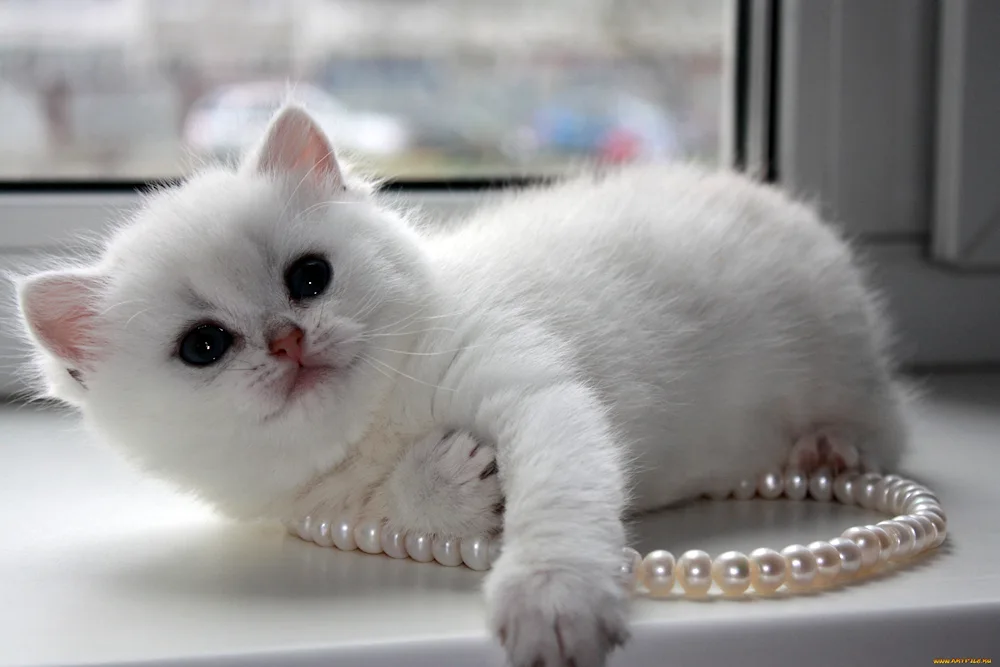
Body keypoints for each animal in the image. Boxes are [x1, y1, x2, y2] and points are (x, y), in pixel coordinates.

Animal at [13, 105, 908, 667]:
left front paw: (551, 601)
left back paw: (827, 446)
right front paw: (453, 482)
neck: (380, 421)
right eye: (203, 346)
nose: (288, 339)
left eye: (309, 277)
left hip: (847, 357)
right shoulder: (329, 505)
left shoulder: (535, 392)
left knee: (884, 422)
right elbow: (406, 499)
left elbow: (556, 500)